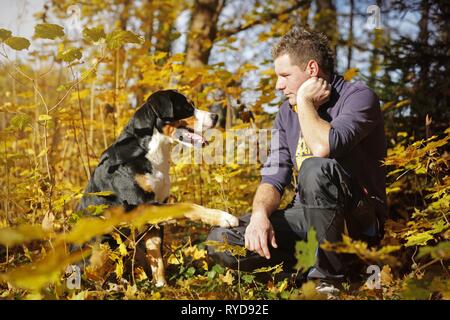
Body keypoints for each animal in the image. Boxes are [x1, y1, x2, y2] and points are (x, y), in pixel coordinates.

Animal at [77, 89, 239, 286]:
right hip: (101, 242)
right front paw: (223, 217)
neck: (152, 153)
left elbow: (157, 256)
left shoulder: (154, 215)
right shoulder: (141, 206)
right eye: (186, 107)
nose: (215, 116)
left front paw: (162, 286)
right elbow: (187, 205)